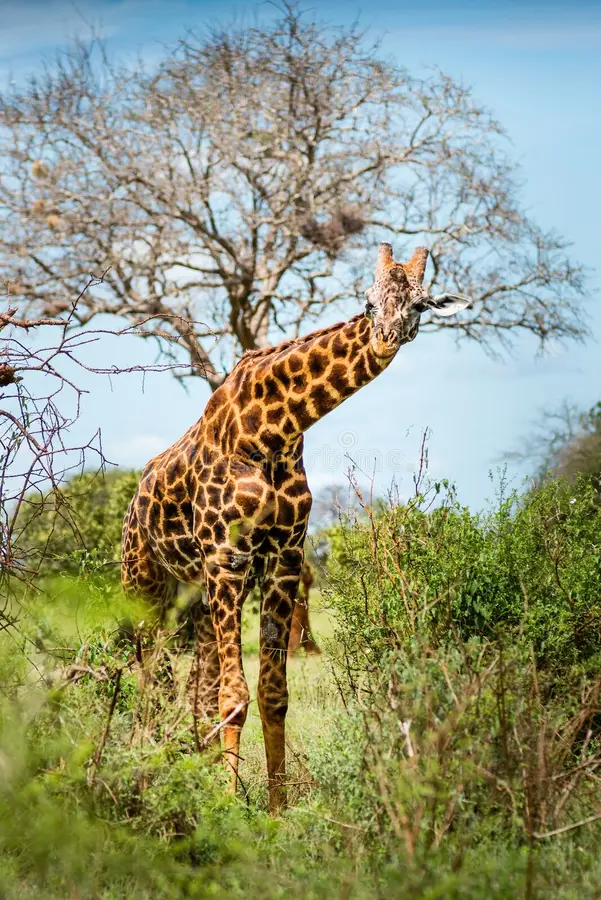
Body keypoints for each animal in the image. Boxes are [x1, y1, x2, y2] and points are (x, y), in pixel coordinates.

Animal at [121, 243, 470, 812]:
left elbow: (271, 693)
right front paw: (228, 805)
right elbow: (234, 694)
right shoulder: (227, 556)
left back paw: (189, 768)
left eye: (419, 305)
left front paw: (276, 806)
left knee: (195, 684)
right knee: (151, 674)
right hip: (145, 583)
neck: (274, 430)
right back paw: (146, 762)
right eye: (369, 300)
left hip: (195, 597)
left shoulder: (282, 558)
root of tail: (134, 502)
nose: (385, 337)